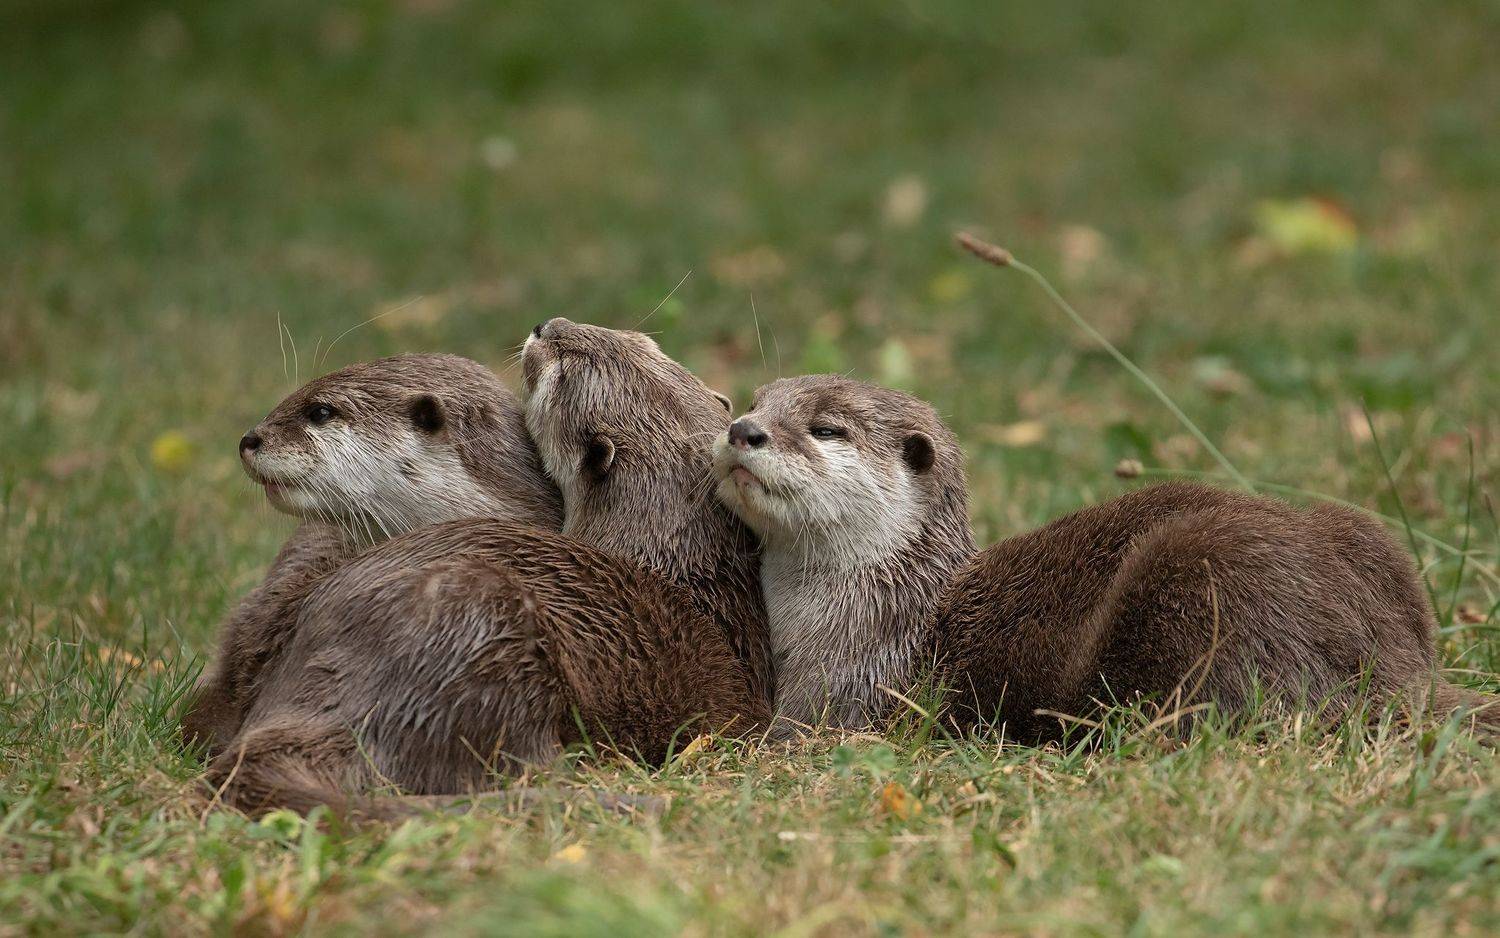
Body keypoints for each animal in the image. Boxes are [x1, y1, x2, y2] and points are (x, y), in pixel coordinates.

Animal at [714, 374, 1494, 740]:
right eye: (753, 399)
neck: (881, 601)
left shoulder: (852, 688)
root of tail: (1391, 664)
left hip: (1193, 577)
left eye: (825, 428)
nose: (744, 429)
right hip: (1368, 535)